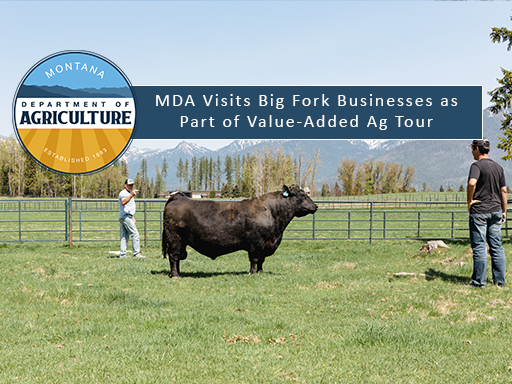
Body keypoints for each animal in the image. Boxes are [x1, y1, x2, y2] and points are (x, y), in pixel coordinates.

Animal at [162, 184, 318, 278]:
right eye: (302, 196)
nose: (315, 206)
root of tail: (177, 197)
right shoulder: (256, 243)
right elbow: (255, 259)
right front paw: (253, 272)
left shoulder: (265, 244)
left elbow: (262, 259)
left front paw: (260, 271)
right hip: (175, 238)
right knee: (173, 256)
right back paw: (175, 275)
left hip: (181, 241)